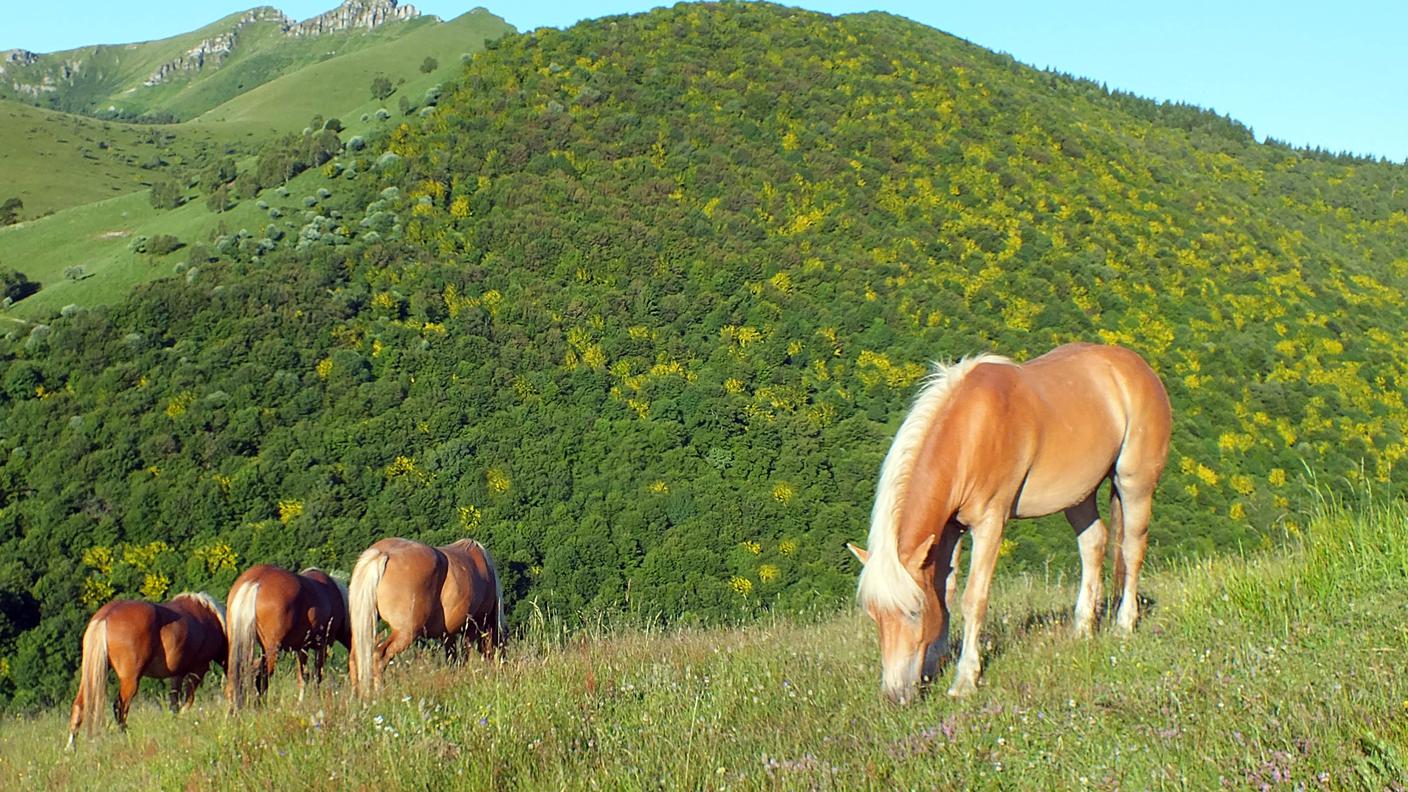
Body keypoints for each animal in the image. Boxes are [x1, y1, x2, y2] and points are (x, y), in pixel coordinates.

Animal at [65, 589, 225, 744]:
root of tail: (106, 615)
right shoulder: (198, 669)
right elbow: (187, 701)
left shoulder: (177, 674)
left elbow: (175, 704)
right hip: (130, 681)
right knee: (120, 708)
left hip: (91, 676)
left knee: (79, 706)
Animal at [223, 560, 350, 701]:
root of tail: (256, 580)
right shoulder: (323, 645)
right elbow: (317, 676)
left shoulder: (302, 648)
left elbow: (303, 677)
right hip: (272, 650)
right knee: (262, 678)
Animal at [347, 532, 506, 693]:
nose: (501, 670)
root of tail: (383, 553)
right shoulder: (472, 626)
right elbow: (463, 655)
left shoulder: (448, 633)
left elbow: (452, 658)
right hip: (406, 632)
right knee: (380, 655)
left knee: (355, 659)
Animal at [850, 342, 1171, 698]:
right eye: (874, 615)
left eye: (913, 611)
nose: (895, 695)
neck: (969, 431)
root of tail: (1138, 367)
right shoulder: (949, 530)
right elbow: (944, 594)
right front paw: (936, 665)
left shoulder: (989, 524)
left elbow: (973, 599)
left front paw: (965, 679)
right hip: (1079, 494)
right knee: (1093, 544)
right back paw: (1083, 629)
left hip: (1134, 483)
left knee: (1131, 549)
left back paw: (1125, 624)